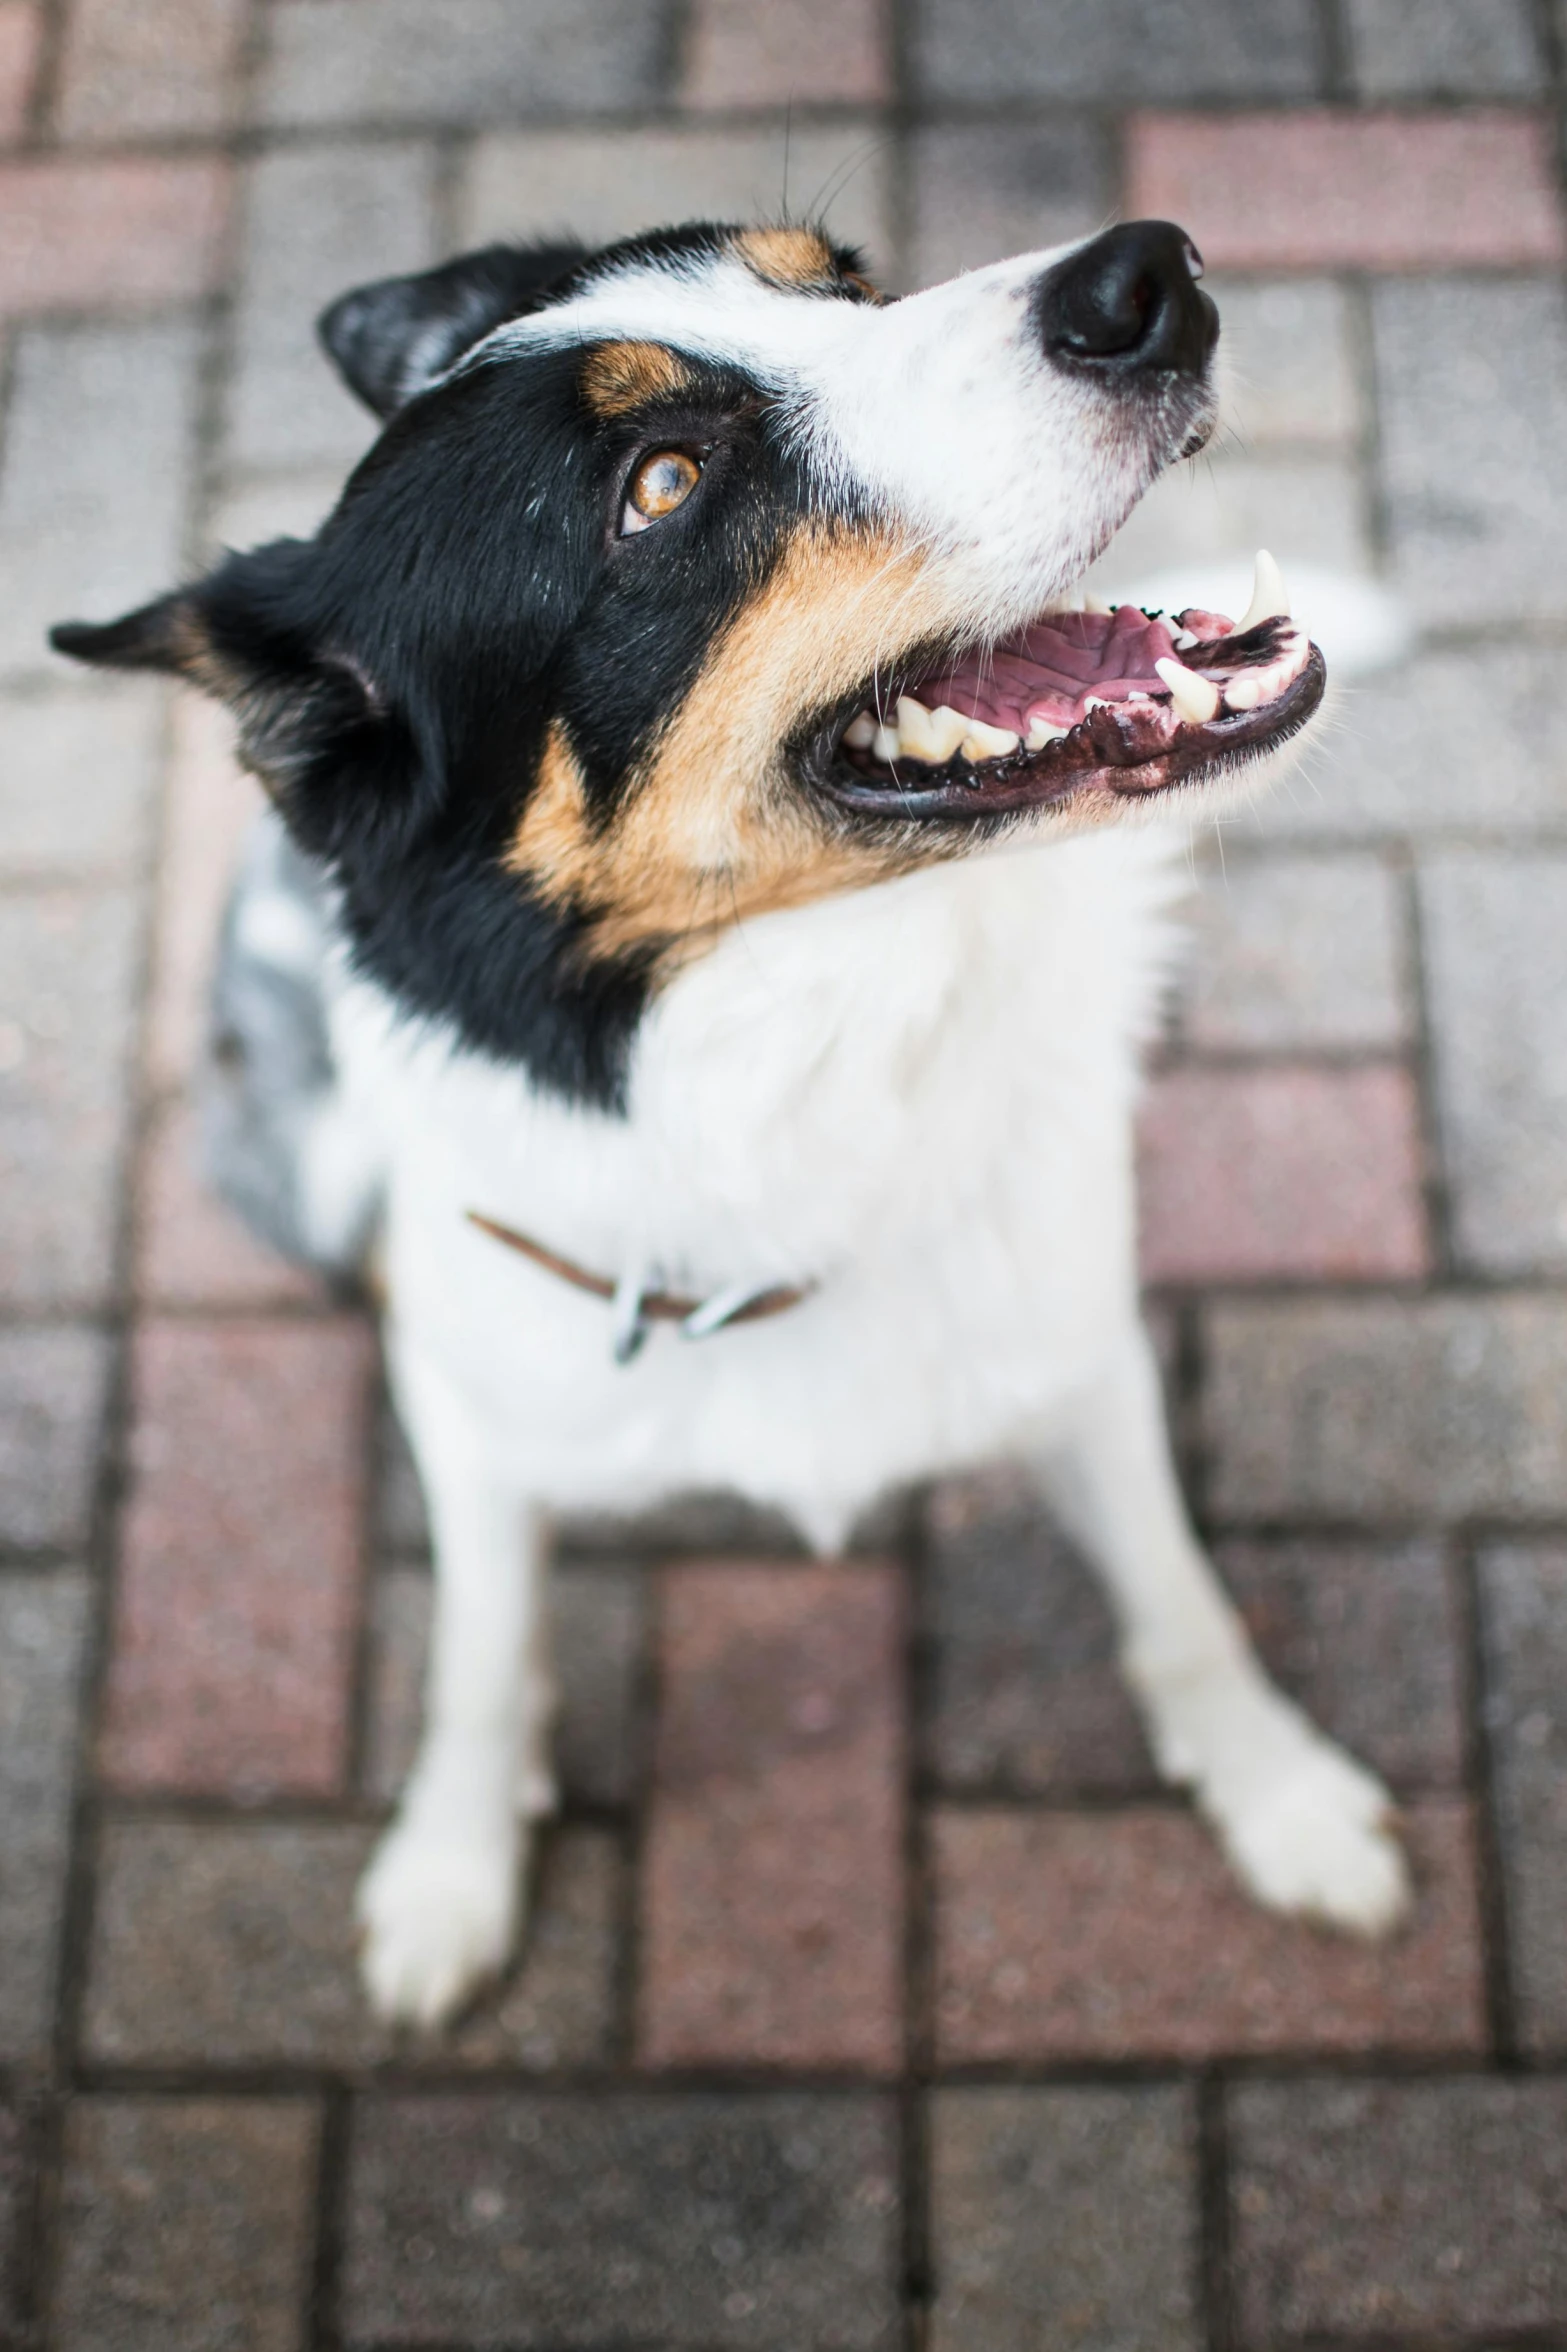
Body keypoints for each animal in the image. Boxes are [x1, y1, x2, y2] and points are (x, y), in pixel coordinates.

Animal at [54, 211, 1411, 2032]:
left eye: (843, 281)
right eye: (660, 486)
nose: (1146, 277)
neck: (796, 1071)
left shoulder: (1075, 1345)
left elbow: (1176, 1592)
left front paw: (1277, 1794)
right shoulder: (470, 1407)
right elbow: (482, 1650)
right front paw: (449, 1869)